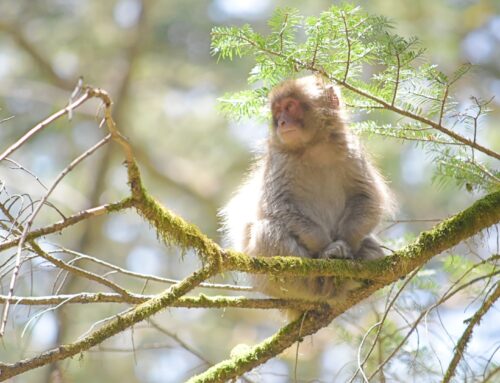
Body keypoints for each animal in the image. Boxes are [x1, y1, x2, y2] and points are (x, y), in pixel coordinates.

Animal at [221, 76, 392, 306]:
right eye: (277, 111)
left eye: (289, 107)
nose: (282, 122)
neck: (314, 147)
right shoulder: (280, 161)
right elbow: (278, 206)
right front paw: (328, 249)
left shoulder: (352, 151)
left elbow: (367, 197)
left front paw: (346, 245)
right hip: (272, 281)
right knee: (267, 231)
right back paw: (318, 277)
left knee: (373, 247)